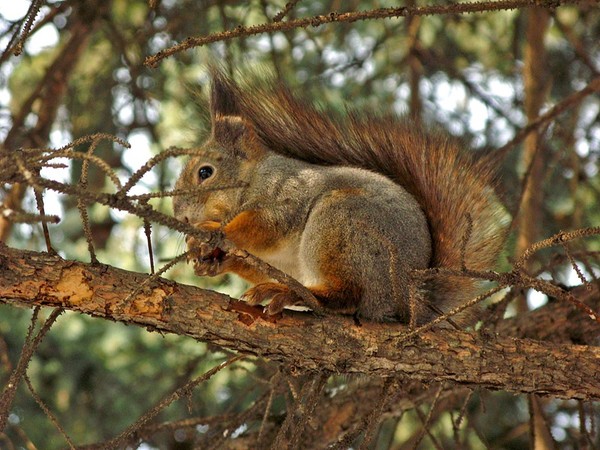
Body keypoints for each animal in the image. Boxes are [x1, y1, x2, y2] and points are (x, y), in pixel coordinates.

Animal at [171, 70, 508, 324]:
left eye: (205, 172)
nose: (180, 215)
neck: (252, 180)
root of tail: (408, 301)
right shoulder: (275, 259)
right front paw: (209, 259)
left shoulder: (286, 196)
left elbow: (262, 227)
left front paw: (211, 231)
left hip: (340, 225)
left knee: (347, 296)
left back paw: (292, 294)